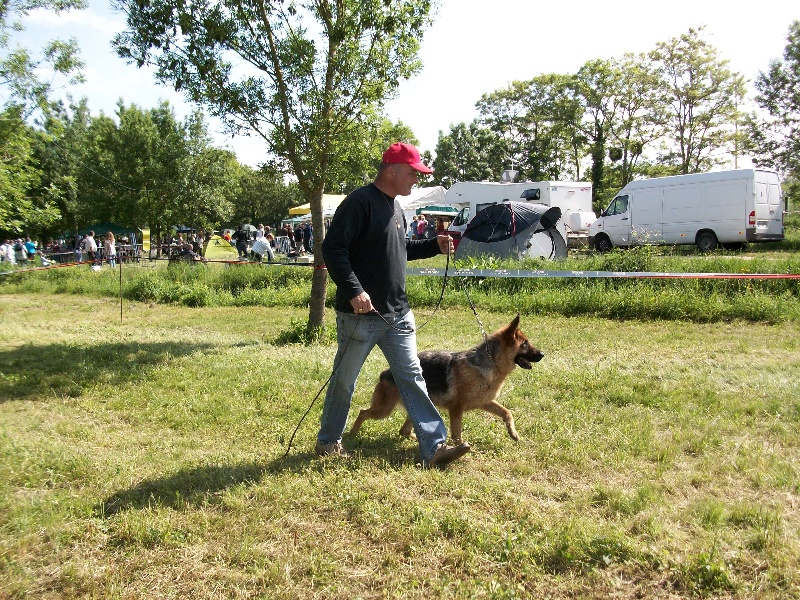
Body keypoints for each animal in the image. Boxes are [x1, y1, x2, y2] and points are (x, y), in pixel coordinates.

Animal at [346, 316, 540, 442]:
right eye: (525, 344)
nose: (542, 354)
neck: (490, 362)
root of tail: (385, 372)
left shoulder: (485, 402)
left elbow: (507, 412)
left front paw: (513, 433)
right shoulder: (456, 410)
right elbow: (457, 435)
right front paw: (459, 449)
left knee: (404, 431)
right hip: (384, 410)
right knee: (363, 413)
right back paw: (352, 434)